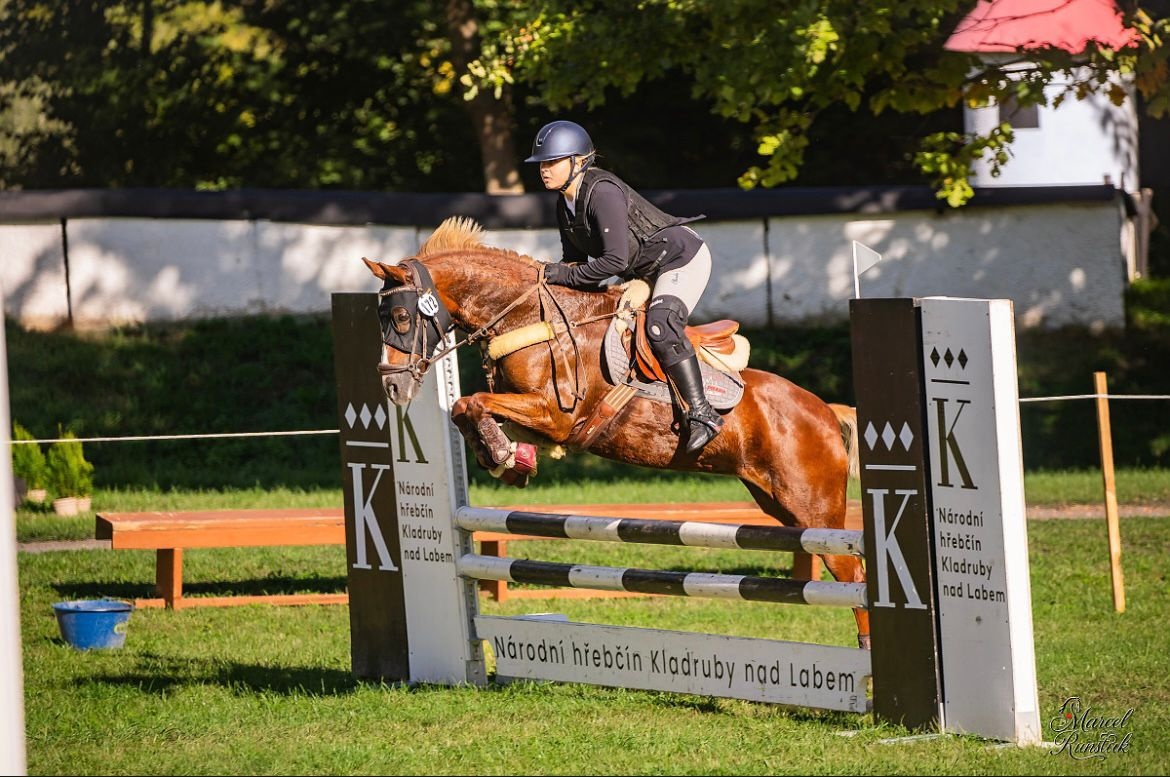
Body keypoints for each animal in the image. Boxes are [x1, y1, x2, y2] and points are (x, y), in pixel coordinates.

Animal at [361, 216, 869, 648]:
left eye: (401, 318)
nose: (392, 386)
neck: (528, 316)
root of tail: (825, 411)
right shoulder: (529, 412)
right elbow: (464, 409)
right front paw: (509, 459)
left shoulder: (557, 416)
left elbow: (470, 403)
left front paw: (506, 457)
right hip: (779, 504)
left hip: (814, 510)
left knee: (853, 571)